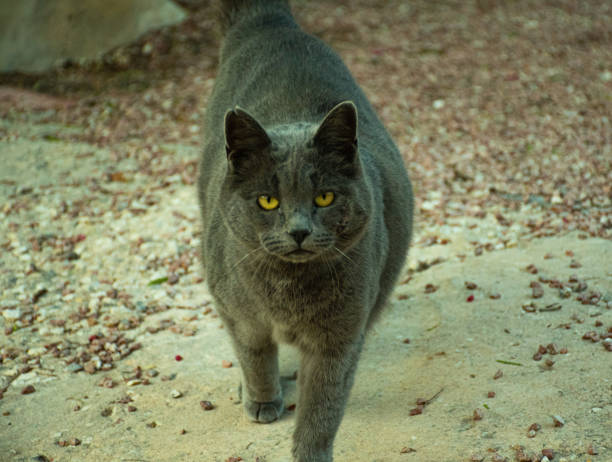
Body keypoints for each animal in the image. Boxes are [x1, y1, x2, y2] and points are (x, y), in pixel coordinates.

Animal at [198, 1, 414, 460]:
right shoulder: (235, 310)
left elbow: (323, 403)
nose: (299, 231)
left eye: (325, 198)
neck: (287, 290)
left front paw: (311, 450)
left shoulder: (339, 338)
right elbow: (254, 354)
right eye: (268, 201)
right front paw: (262, 400)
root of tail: (272, 23)